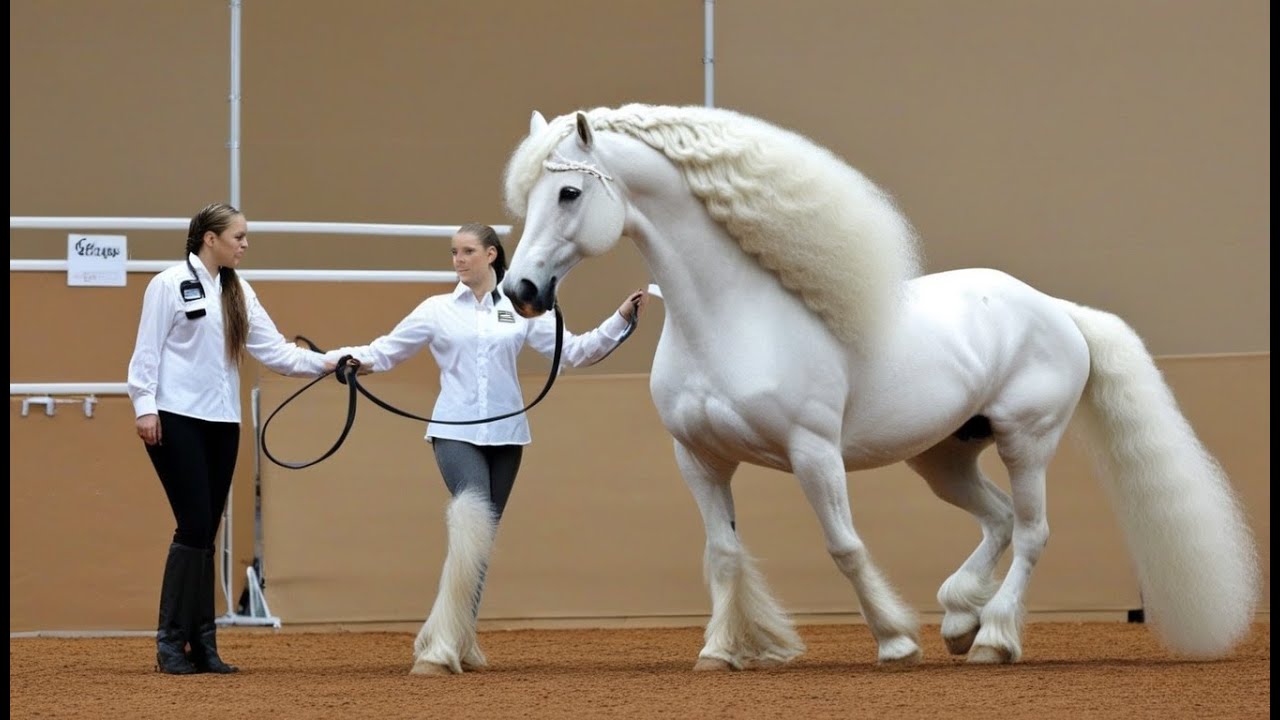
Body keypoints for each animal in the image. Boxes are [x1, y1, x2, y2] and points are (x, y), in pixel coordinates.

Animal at [499, 104, 1259, 669]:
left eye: (569, 192)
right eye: (526, 198)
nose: (522, 291)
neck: (734, 318)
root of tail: (1057, 310)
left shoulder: (813, 453)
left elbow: (845, 545)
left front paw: (894, 641)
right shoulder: (700, 459)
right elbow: (721, 554)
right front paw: (720, 652)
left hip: (1026, 440)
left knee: (1033, 531)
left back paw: (993, 636)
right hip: (945, 456)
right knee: (998, 520)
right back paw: (958, 618)